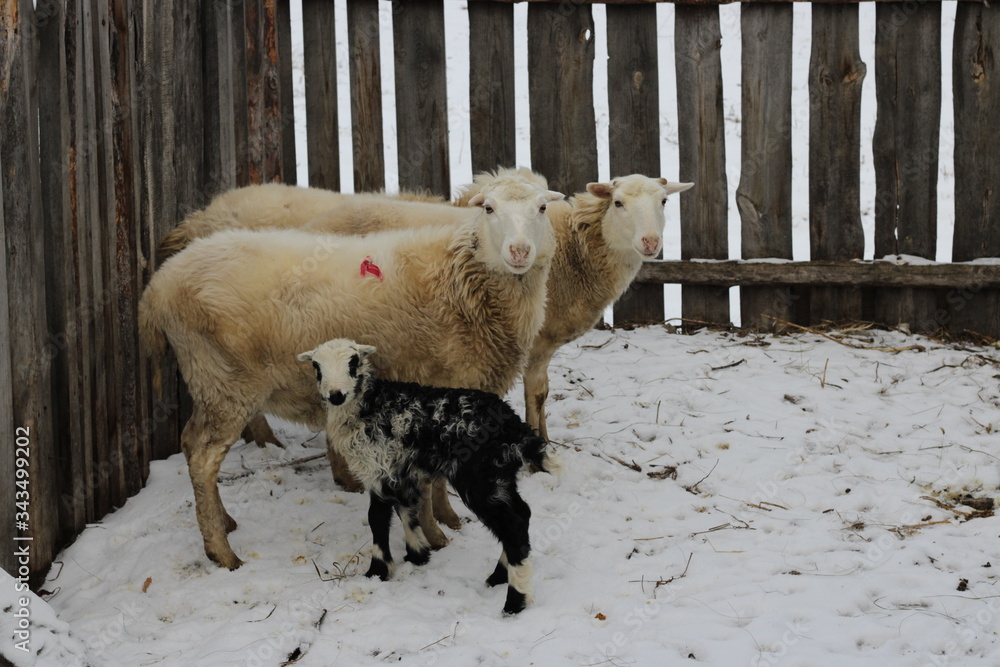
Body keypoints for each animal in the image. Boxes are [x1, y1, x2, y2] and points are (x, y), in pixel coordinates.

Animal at [139, 178, 563, 569]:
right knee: (202, 456)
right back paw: (222, 552)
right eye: (489, 208)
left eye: (542, 208)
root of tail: (159, 286)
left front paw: (446, 520)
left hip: (211, 381)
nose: (519, 251)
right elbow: (431, 479)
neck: (462, 280)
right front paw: (438, 531)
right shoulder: (439, 385)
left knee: (193, 446)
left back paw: (223, 522)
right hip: (224, 381)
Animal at [299, 338, 556, 615]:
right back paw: (498, 576)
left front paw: (377, 571)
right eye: (317, 366)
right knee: (522, 514)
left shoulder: (377, 467)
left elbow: (377, 518)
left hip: (479, 478)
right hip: (500, 475)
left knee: (513, 525)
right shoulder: (400, 469)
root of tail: (515, 426)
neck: (368, 405)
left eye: (353, 362)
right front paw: (418, 555)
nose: (336, 395)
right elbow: (407, 509)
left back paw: (514, 600)